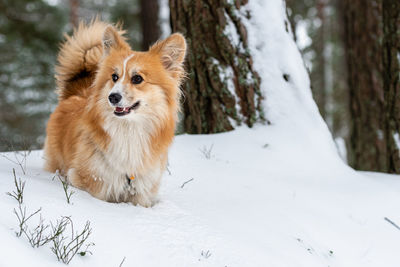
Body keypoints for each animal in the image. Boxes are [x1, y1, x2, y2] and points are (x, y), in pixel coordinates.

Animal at [43, 22, 186, 208]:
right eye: (114, 77)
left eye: (137, 78)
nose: (113, 97)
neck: (129, 130)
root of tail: (76, 94)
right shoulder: (89, 180)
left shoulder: (142, 192)